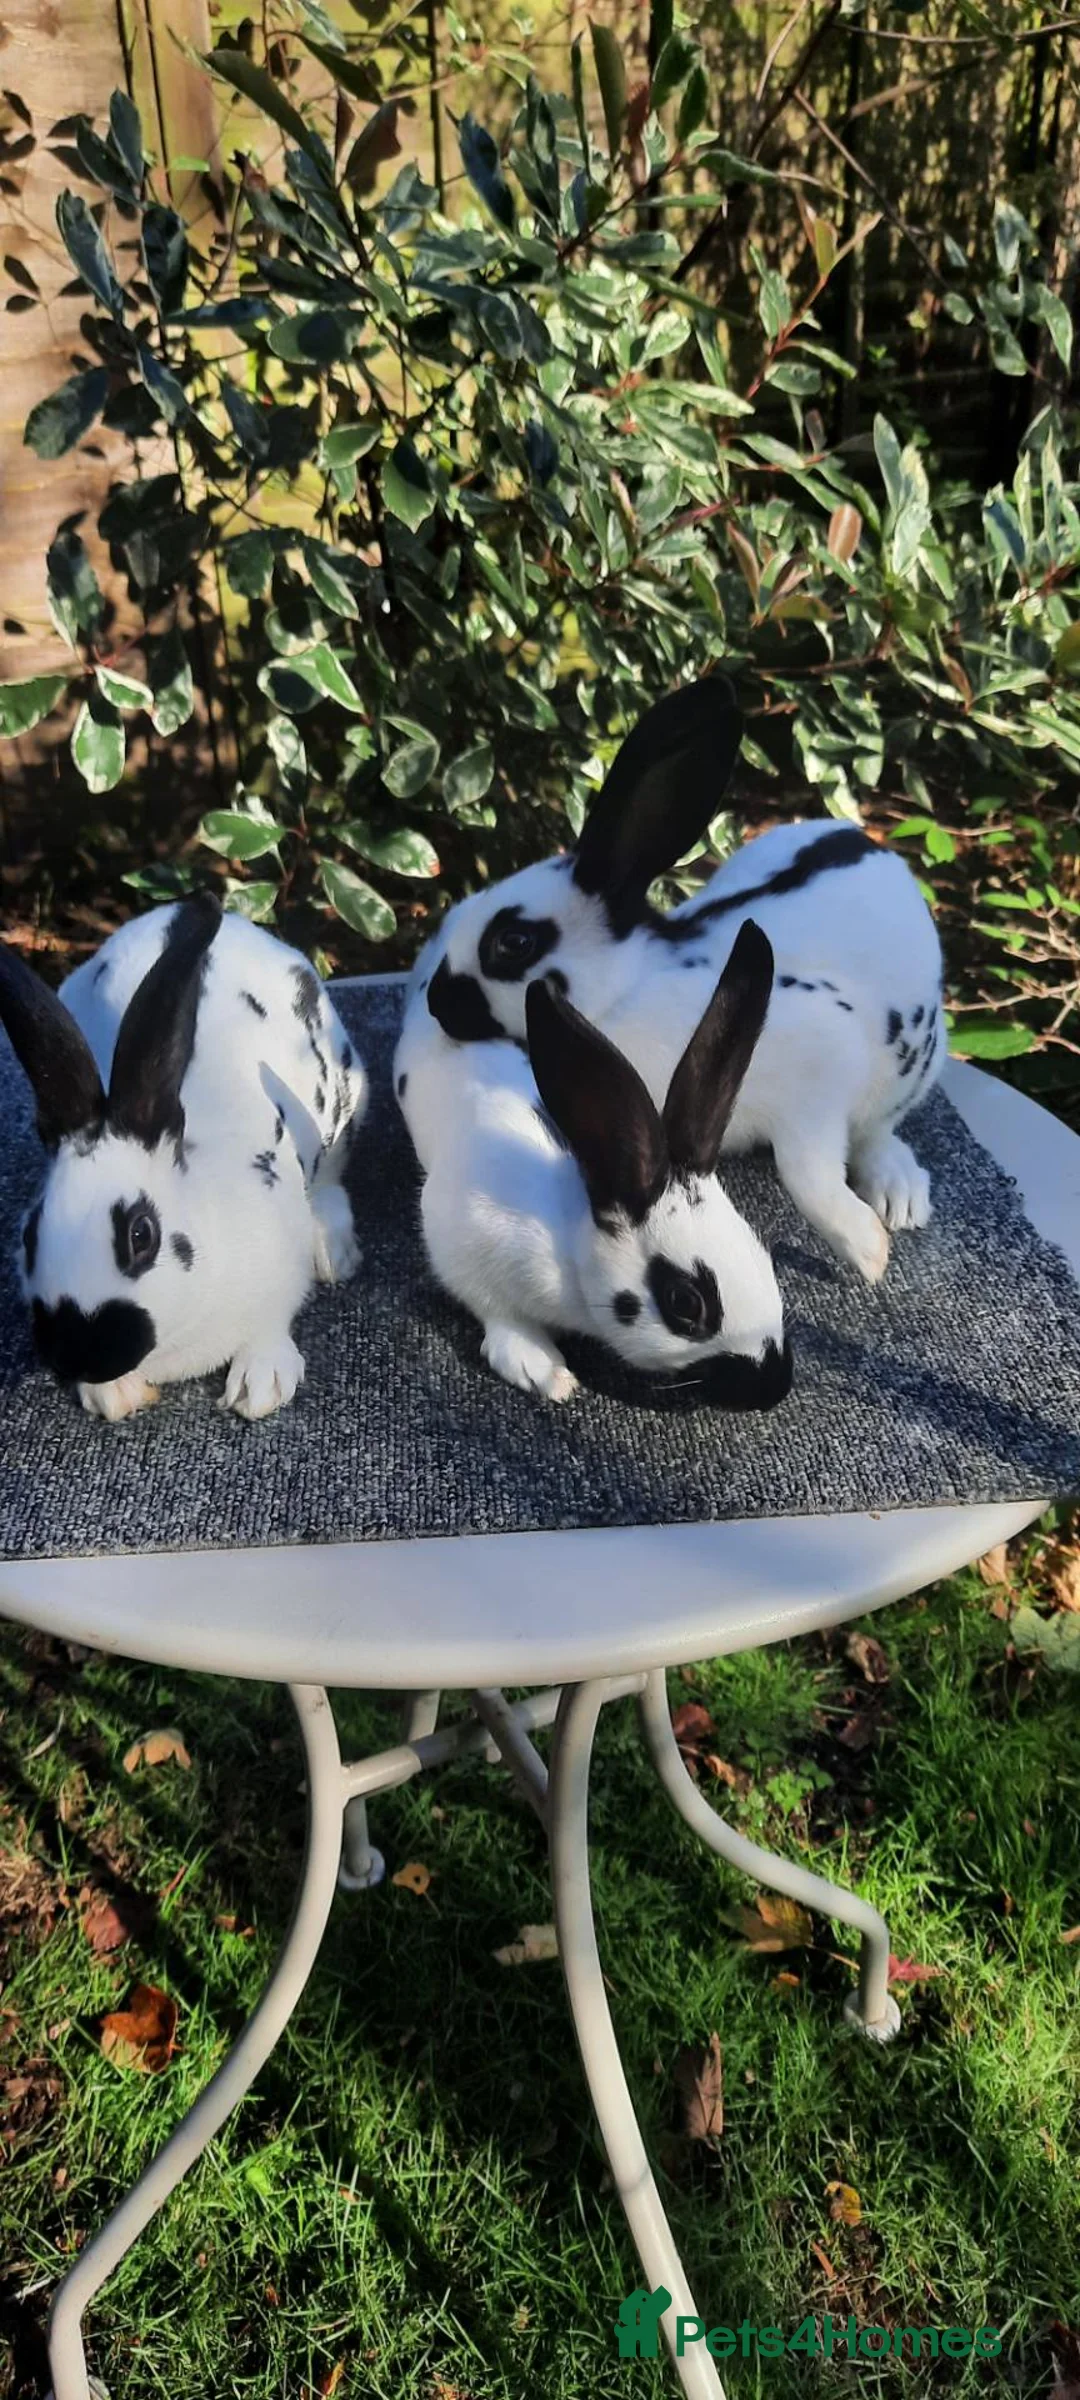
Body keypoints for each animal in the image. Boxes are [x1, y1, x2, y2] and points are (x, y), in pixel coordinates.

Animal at [0, 893, 367, 1422]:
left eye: (141, 1235)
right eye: (29, 1234)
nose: (84, 1355)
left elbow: (273, 1321)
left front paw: (261, 1384)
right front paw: (115, 1395)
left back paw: (335, 1252)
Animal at [395, 917, 792, 1407]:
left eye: (761, 1255)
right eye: (684, 1302)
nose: (774, 1386)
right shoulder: (457, 1238)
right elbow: (497, 1311)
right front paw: (543, 1370)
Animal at [413, 676, 945, 1287]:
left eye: (513, 943)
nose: (436, 1002)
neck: (626, 990)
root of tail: (874, 846)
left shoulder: (821, 1072)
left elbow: (807, 1175)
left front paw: (868, 1249)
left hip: (911, 1067)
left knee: (879, 1131)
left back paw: (898, 1195)